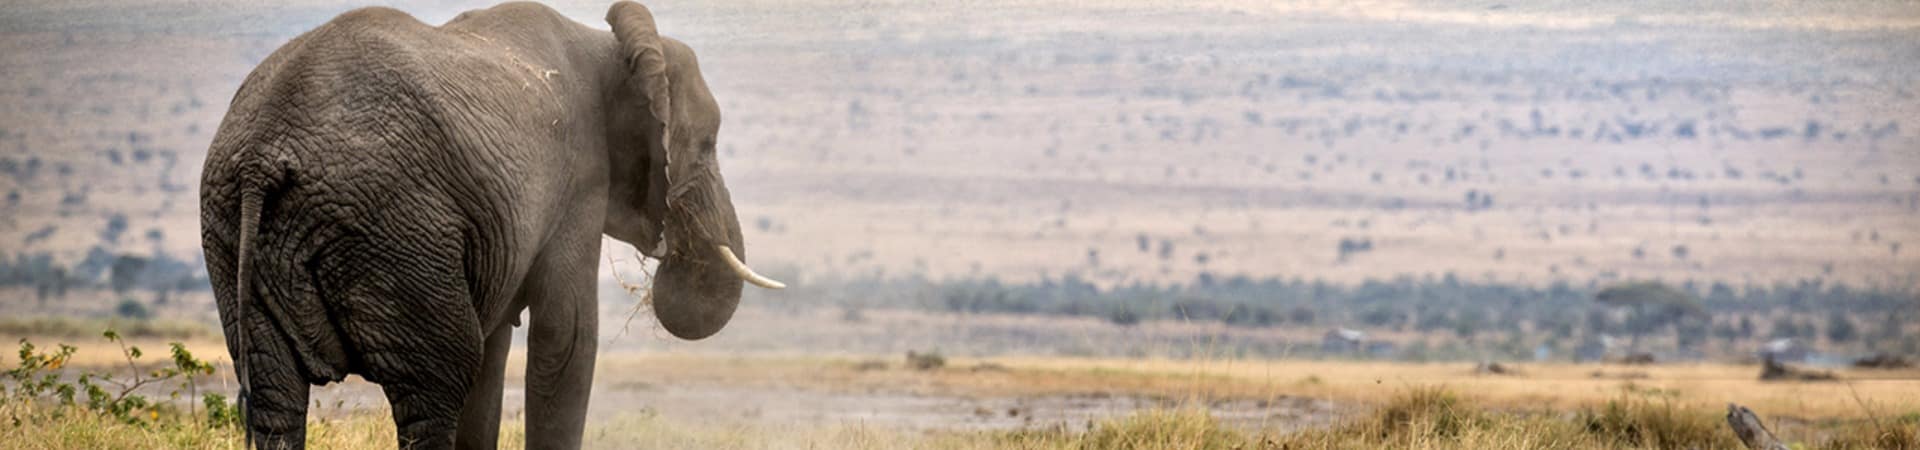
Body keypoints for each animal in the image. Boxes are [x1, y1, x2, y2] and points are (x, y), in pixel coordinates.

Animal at [198, 1, 783, 448]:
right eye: (707, 144)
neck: (609, 44)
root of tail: (263, 155)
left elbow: (497, 348)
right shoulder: (578, 181)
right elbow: (567, 337)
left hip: (232, 233)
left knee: (275, 397)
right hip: (392, 228)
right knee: (437, 383)